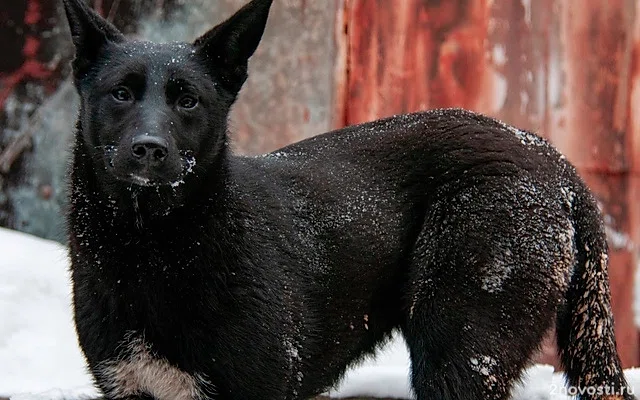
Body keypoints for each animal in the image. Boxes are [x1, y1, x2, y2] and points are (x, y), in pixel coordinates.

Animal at [62, 0, 632, 400]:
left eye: (188, 100)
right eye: (120, 94)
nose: (148, 149)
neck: (153, 249)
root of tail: (556, 162)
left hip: (461, 344)